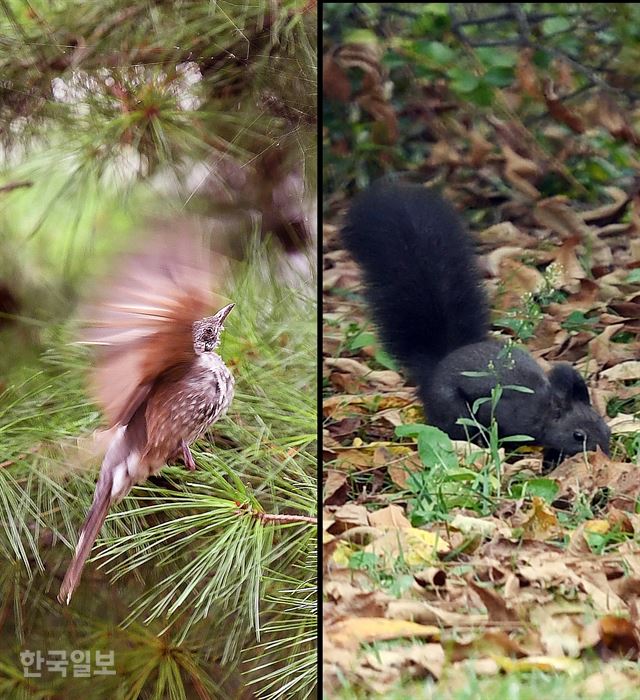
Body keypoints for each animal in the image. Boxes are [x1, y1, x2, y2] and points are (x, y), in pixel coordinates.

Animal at [342, 178, 612, 470]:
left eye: (606, 427)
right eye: (578, 435)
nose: (606, 454)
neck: (541, 407)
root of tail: (437, 365)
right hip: (451, 407)